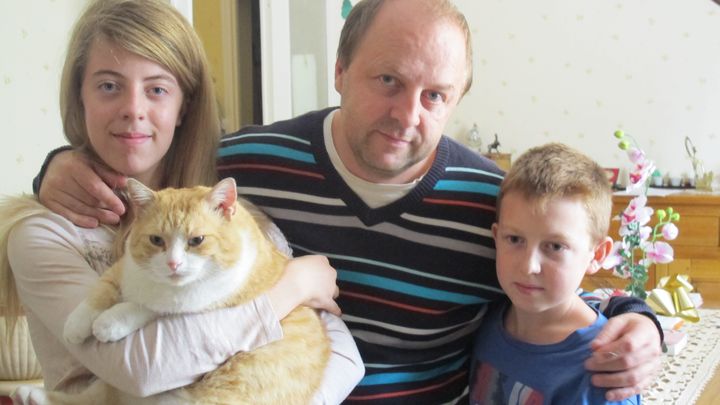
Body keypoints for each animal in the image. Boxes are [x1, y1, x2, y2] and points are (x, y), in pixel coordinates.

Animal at [14, 179, 330, 404]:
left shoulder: (200, 301)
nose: (173, 264)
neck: (158, 283)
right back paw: (31, 395)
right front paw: (77, 325)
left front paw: (109, 322)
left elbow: (150, 307)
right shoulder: (123, 270)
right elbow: (100, 291)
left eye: (197, 240)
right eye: (156, 240)